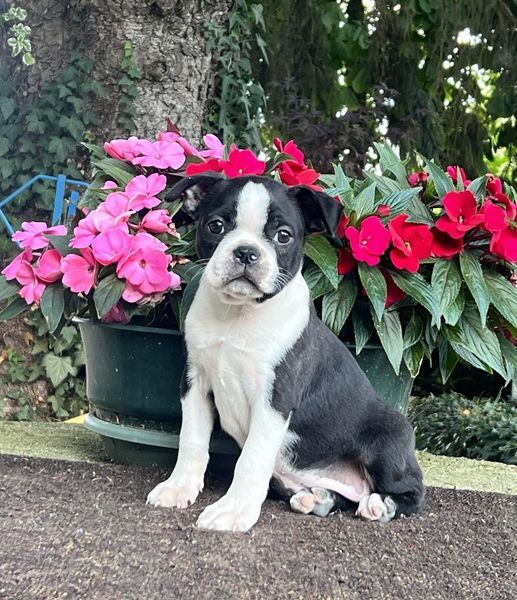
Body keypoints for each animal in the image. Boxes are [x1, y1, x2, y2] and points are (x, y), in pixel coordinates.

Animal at [145, 176, 424, 532]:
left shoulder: (275, 399)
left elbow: (251, 460)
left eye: (283, 236)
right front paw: (179, 487)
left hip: (388, 439)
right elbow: (191, 440)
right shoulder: (195, 382)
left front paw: (232, 511)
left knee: (412, 491)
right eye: (216, 226)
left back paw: (381, 504)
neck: (238, 315)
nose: (246, 252)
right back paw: (319, 498)